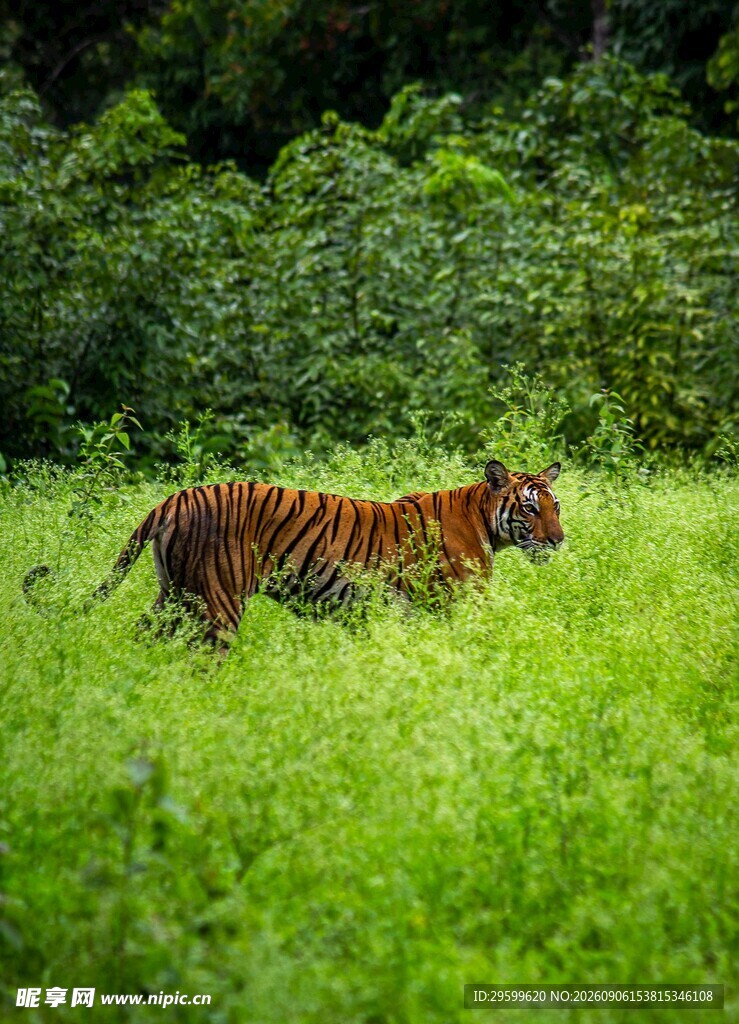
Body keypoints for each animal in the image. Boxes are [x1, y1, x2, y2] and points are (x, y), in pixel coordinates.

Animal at [24, 459, 564, 645]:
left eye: (556, 507)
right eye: (530, 508)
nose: (558, 539)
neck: (485, 518)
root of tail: (174, 497)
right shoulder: (461, 605)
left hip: (175, 594)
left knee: (142, 638)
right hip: (217, 600)